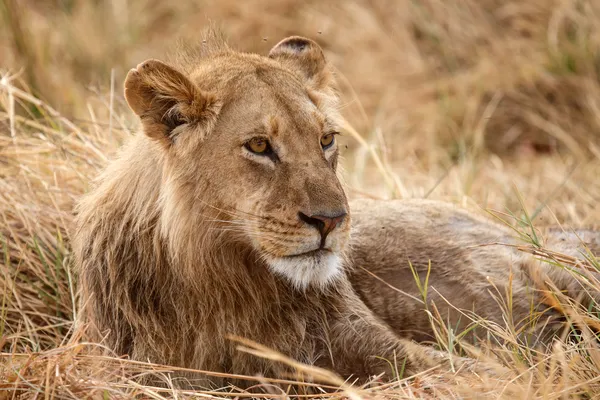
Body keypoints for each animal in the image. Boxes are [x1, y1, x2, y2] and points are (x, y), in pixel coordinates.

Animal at [72, 33, 596, 388]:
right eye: (259, 145)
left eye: (326, 140)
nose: (331, 221)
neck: (223, 280)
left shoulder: (377, 346)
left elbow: (466, 372)